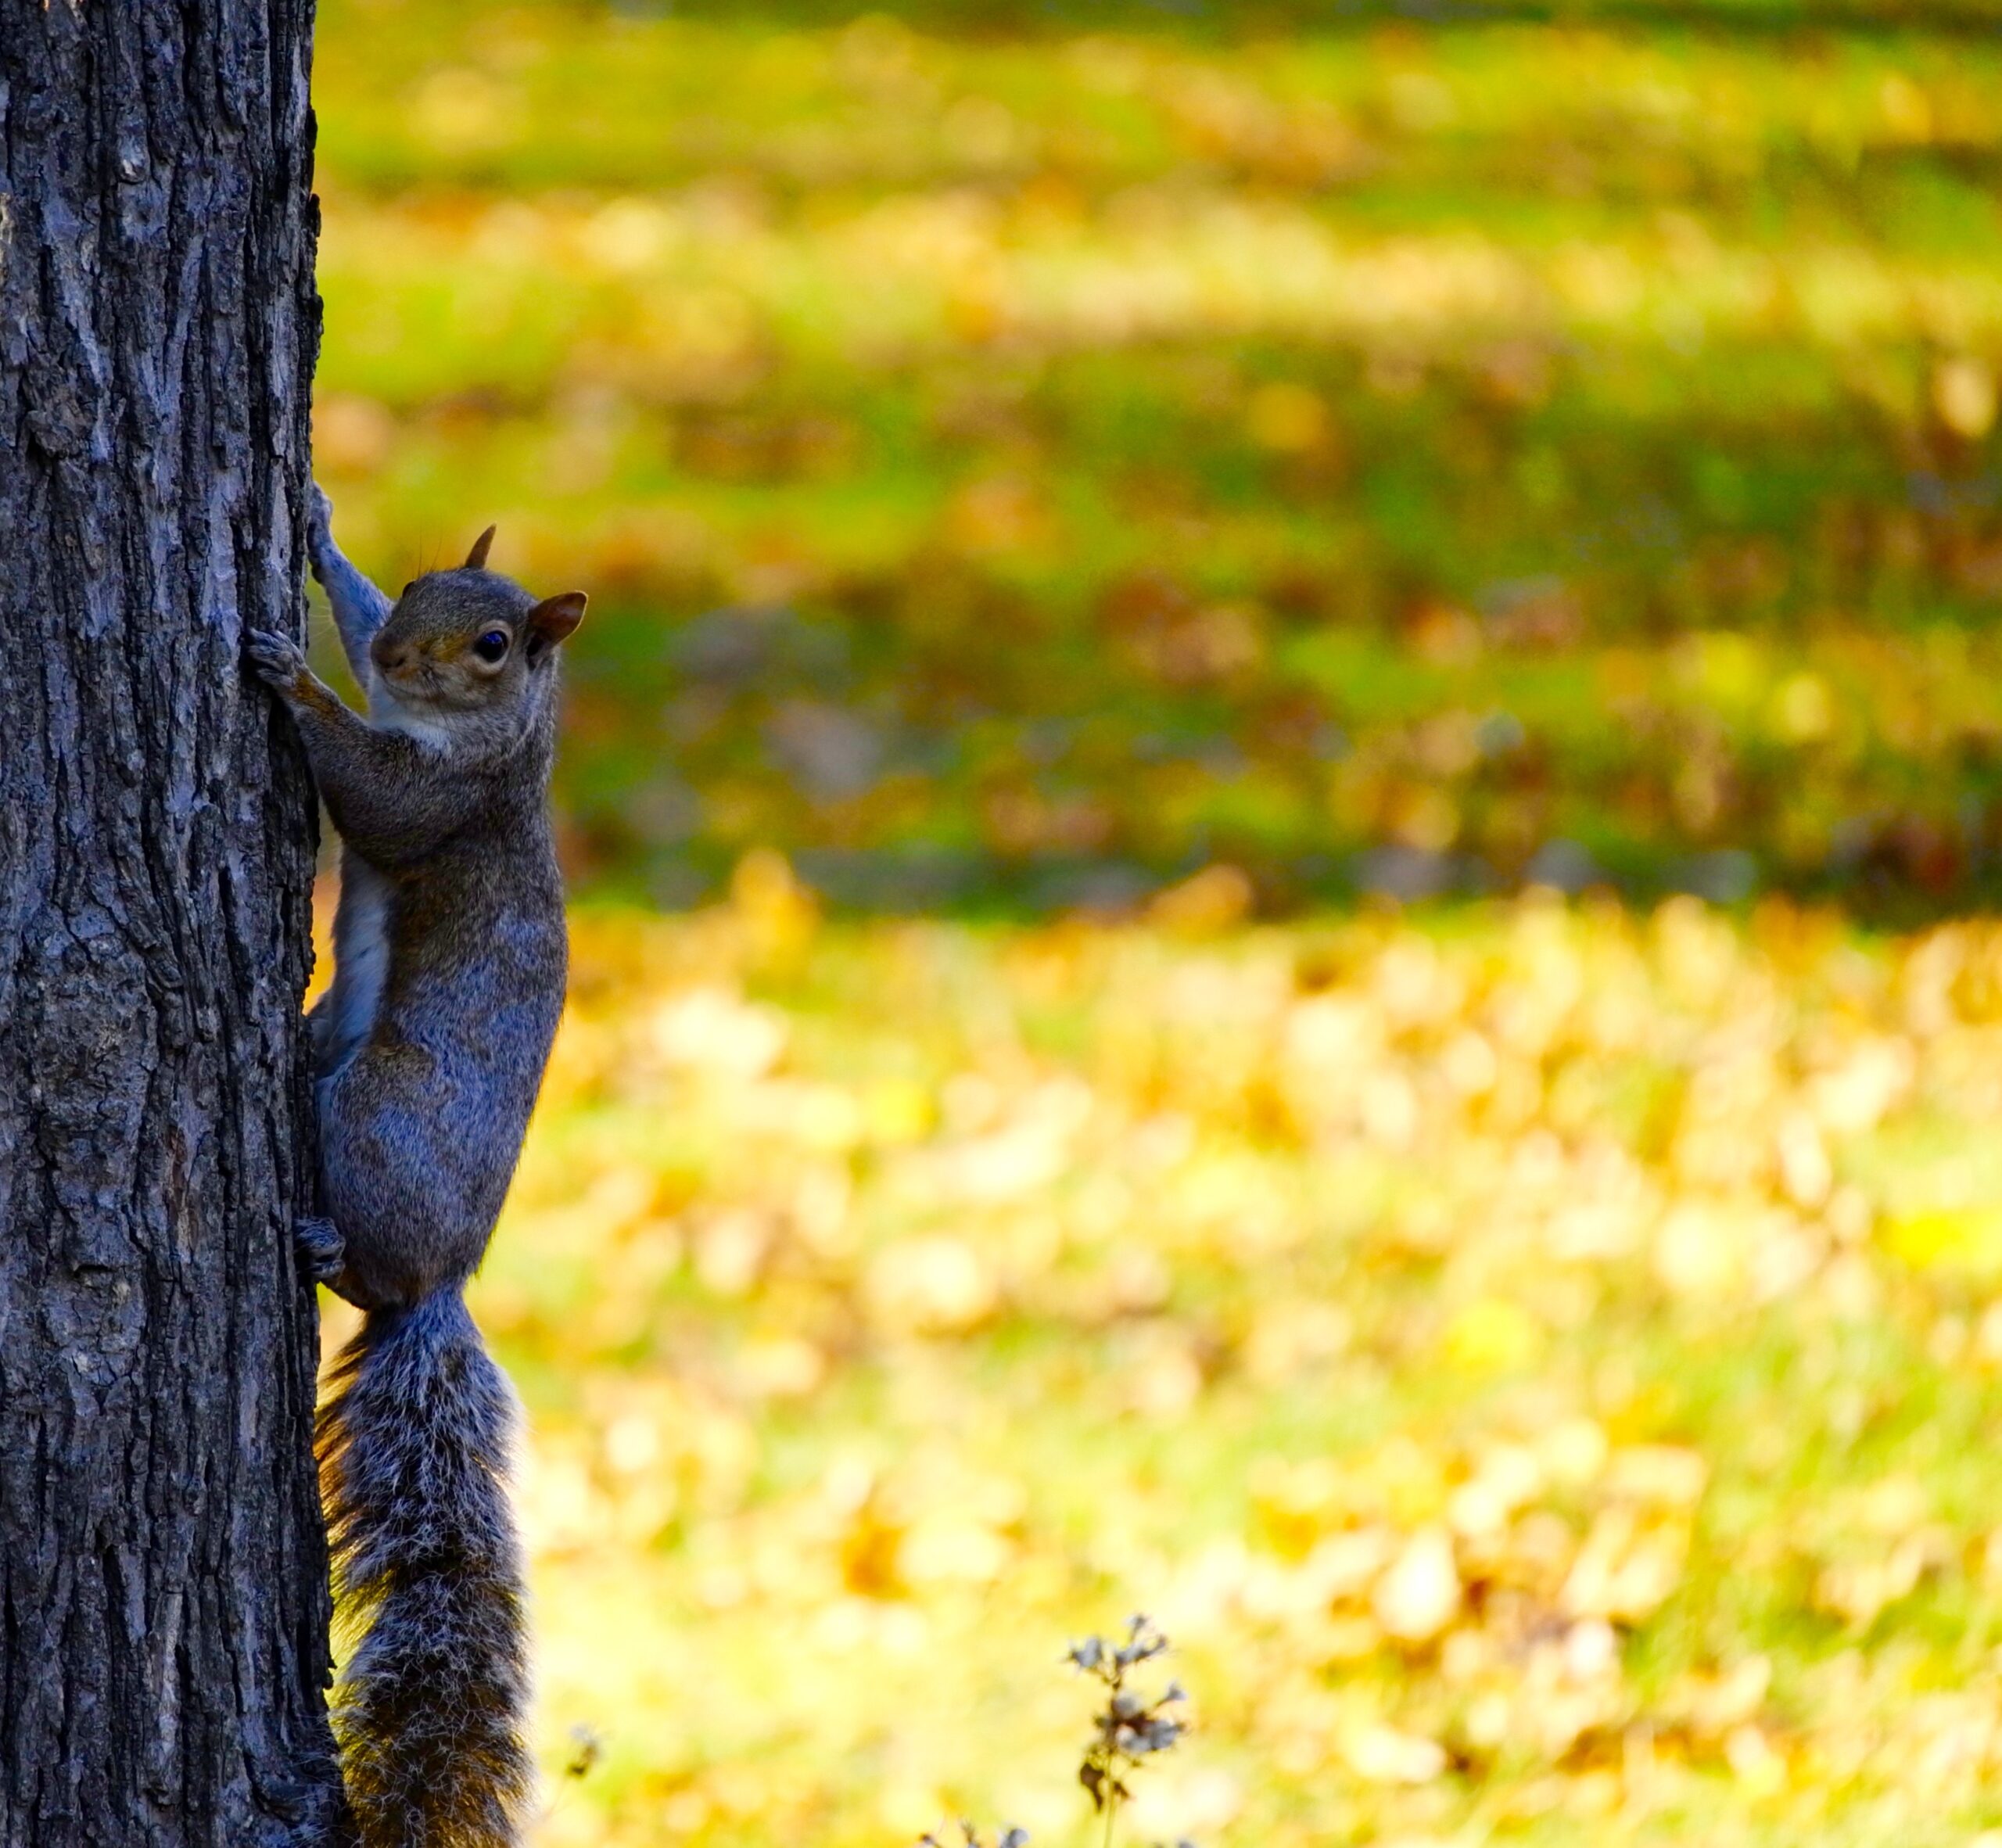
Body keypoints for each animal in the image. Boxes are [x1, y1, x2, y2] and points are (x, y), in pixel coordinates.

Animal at [244, 488, 584, 1848]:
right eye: (427, 584)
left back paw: (327, 1244)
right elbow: (352, 602)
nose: (395, 658)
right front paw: (325, 546)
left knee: (376, 1270)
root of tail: (452, 1276)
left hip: (376, 1109)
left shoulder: (446, 799)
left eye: (494, 645)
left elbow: (377, 795)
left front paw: (297, 683)